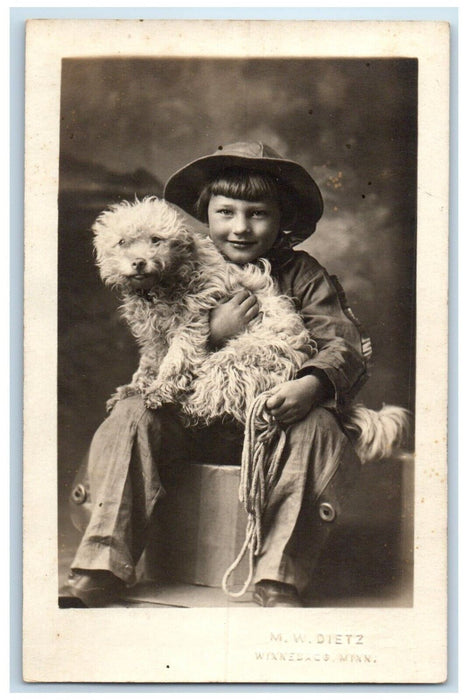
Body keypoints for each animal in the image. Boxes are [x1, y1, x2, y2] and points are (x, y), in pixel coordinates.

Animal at [93, 196, 408, 464]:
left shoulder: (190, 325)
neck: (162, 285)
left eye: (156, 240)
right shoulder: (154, 338)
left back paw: (184, 403)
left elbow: (176, 361)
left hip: (235, 360)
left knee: (208, 401)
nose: (138, 262)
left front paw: (159, 390)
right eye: (122, 242)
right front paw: (134, 387)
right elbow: (150, 364)